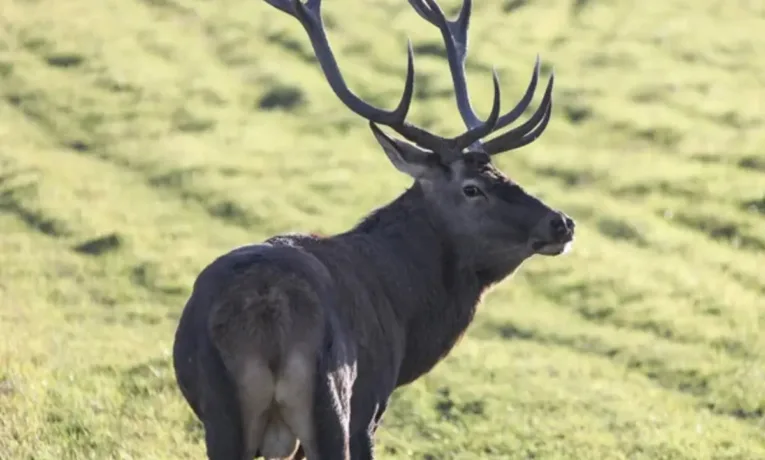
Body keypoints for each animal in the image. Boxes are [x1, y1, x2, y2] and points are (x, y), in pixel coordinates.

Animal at [172, 0, 575, 458]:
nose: (561, 222)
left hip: (220, 409)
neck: (405, 311)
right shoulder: (372, 399)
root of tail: (267, 307)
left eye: (503, 173)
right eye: (472, 188)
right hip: (333, 396)